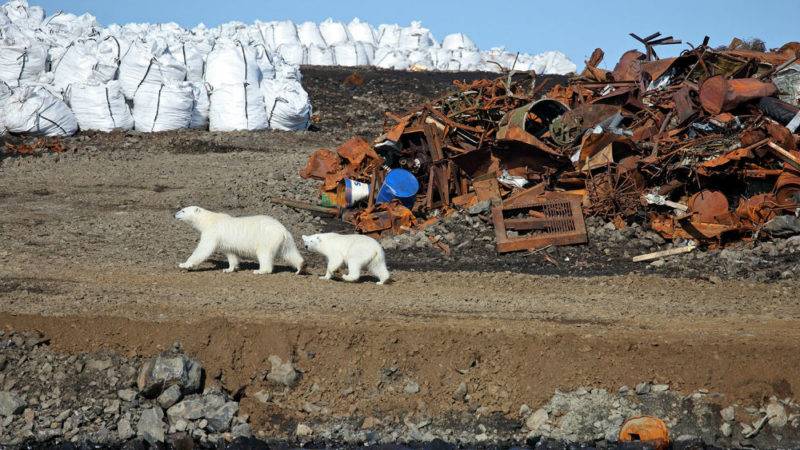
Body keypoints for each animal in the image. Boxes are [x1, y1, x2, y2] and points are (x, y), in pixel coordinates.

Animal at [175, 205, 304, 274]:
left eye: (183, 210)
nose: (174, 214)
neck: (208, 220)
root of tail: (283, 230)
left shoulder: (212, 232)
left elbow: (204, 249)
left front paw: (184, 264)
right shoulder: (225, 242)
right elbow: (231, 253)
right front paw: (229, 269)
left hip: (267, 238)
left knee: (264, 253)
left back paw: (260, 271)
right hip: (286, 240)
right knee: (290, 253)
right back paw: (300, 267)